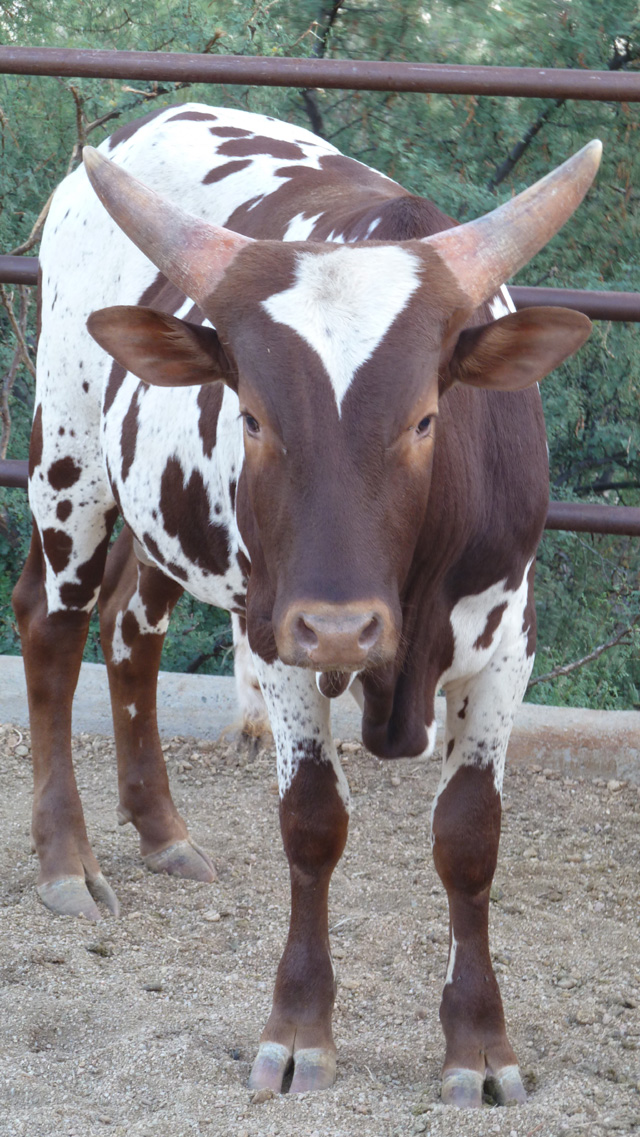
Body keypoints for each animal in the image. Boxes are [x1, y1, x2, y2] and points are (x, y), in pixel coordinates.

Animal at [11, 104, 600, 1100]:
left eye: (426, 418)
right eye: (252, 414)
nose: (339, 629)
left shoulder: (509, 645)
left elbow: (469, 837)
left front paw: (480, 1046)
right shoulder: (275, 635)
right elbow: (313, 822)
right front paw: (298, 1031)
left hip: (174, 513)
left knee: (131, 627)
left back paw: (163, 831)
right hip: (70, 453)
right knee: (53, 626)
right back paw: (66, 863)